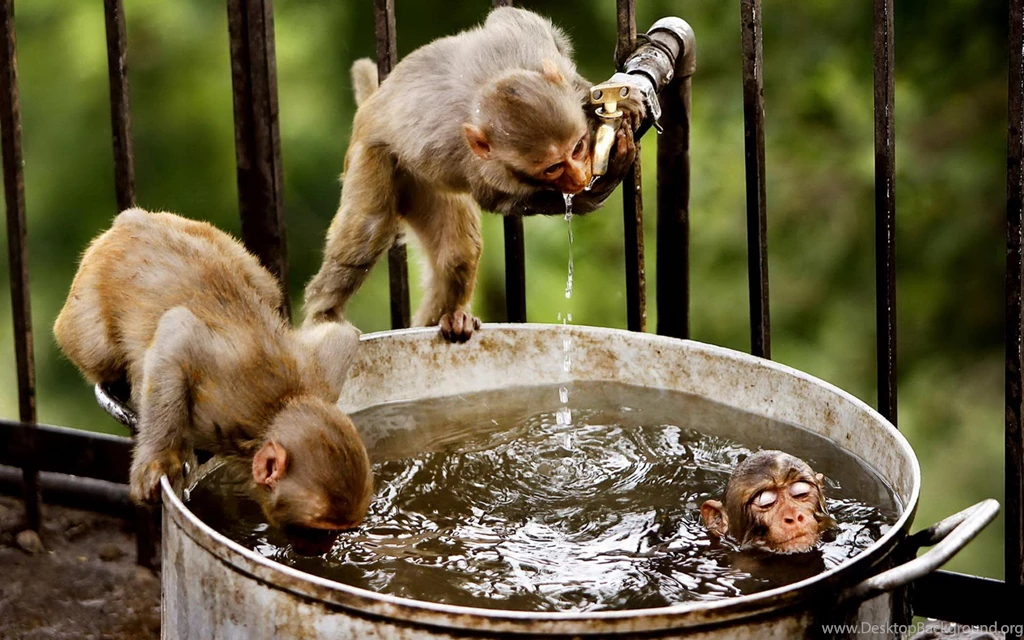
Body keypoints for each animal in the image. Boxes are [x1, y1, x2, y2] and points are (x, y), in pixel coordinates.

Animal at [54, 208, 373, 531]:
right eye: (318, 531)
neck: (276, 408)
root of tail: (132, 220)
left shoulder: (319, 377)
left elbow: (343, 334)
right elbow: (178, 331)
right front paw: (156, 460)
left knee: (265, 288)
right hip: (87, 303)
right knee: (100, 352)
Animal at [303, 6, 643, 342]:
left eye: (578, 147)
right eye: (553, 168)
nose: (579, 177)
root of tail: (370, 106)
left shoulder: (530, 43)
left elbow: (512, 17)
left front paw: (603, 99)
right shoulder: (485, 168)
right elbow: (497, 199)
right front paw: (594, 191)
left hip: (420, 185)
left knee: (457, 254)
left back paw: (449, 319)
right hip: (374, 156)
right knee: (369, 228)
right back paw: (324, 315)